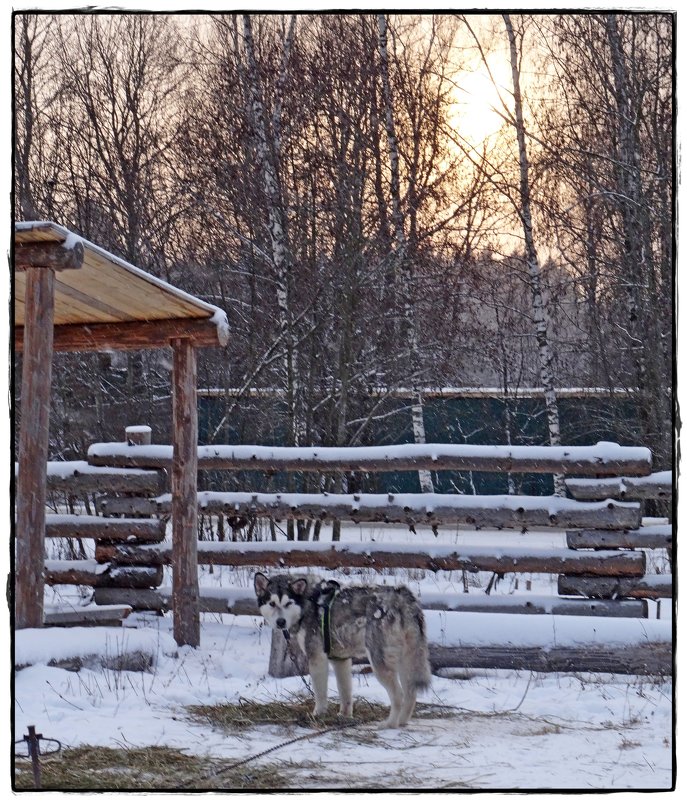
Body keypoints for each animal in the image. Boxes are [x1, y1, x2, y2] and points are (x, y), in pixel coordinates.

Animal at [255, 572, 432, 728]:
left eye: (288, 603)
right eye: (272, 603)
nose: (280, 622)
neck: (308, 601)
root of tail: (402, 596)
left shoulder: (317, 658)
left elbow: (320, 694)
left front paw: (318, 714)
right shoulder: (340, 660)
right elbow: (345, 693)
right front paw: (345, 716)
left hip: (380, 662)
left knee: (399, 696)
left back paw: (390, 724)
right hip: (406, 660)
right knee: (411, 694)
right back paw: (402, 721)